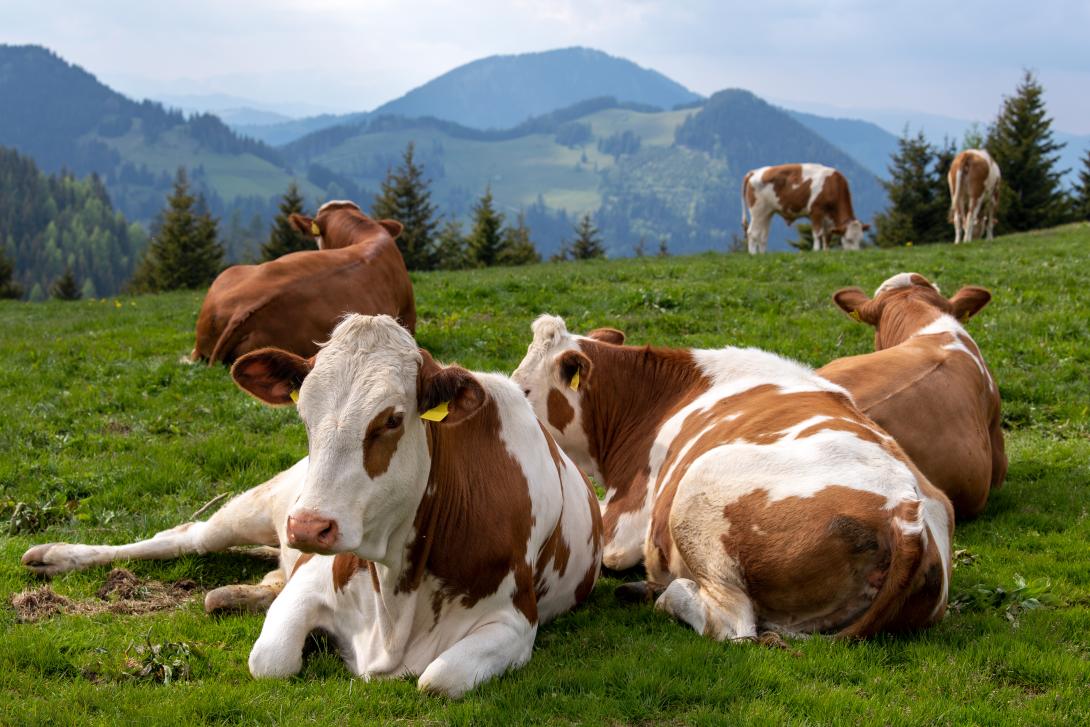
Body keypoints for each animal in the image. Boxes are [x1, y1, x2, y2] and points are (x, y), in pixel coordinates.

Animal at [23, 313, 606, 697]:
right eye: (303, 412)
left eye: (392, 419)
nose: (308, 527)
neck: (399, 595)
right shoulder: (313, 580)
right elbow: (270, 660)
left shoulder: (514, 622)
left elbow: (437, 680)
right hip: (260, 505)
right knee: (184, 537)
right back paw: (55, 555)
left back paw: (235, 594)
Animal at [514, 316, 950, 640]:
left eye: (523, 390)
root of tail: (903, 513)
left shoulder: (623, 524)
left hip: (699, 485)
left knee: (731, 622)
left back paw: (663, 592)